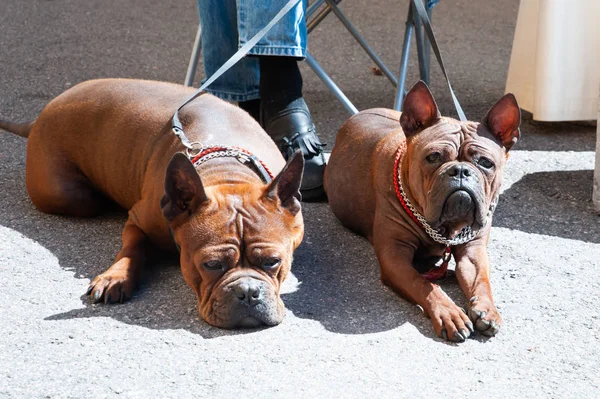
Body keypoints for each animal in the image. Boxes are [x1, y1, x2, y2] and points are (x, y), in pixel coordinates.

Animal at [1, 79, 304, 332]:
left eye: (273, 262)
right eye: (212, 265)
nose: (248, 292)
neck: (225, 171)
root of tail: (37, 119)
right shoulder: (137, 219)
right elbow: (132, 248)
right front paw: (116, 276)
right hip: (72, 196)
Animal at [324, 82, 520, 344]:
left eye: (486, 163)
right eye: (434, 157)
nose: (460, 170)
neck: (444, 228)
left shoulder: (473, 250)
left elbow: (481, 280)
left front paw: (487, 309)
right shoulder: (395, 256)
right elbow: (423, 285)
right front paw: (449, 313)